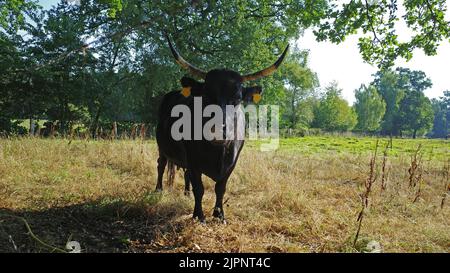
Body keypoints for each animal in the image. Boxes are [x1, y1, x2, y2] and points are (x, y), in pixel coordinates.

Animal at [155, 35, 288, 221]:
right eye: (205, 95)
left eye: (237, 99)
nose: (217, 130)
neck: (217, 151)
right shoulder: (193, 160)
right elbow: (199, 188)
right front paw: (199, 216)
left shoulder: (232, 163)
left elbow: (220, 188)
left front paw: (219, 215)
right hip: (161, 147)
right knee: (161, 165)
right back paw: (158, 190)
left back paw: (186, 193)